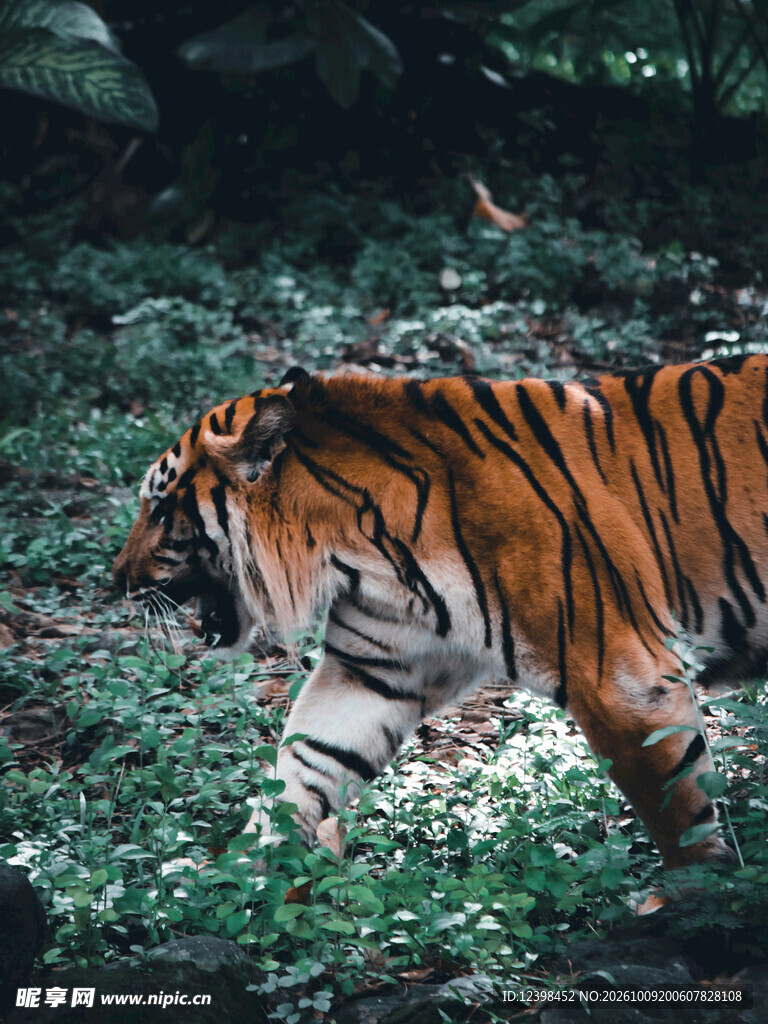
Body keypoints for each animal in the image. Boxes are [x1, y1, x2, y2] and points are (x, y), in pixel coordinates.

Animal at [112, 355, 768, 869]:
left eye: (160, 509)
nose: (116, 580)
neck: (359, 549)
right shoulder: (373, 671)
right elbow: (304, 764)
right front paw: (241, 878)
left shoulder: (620, 676)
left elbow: (675, 813)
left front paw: (698, 904)